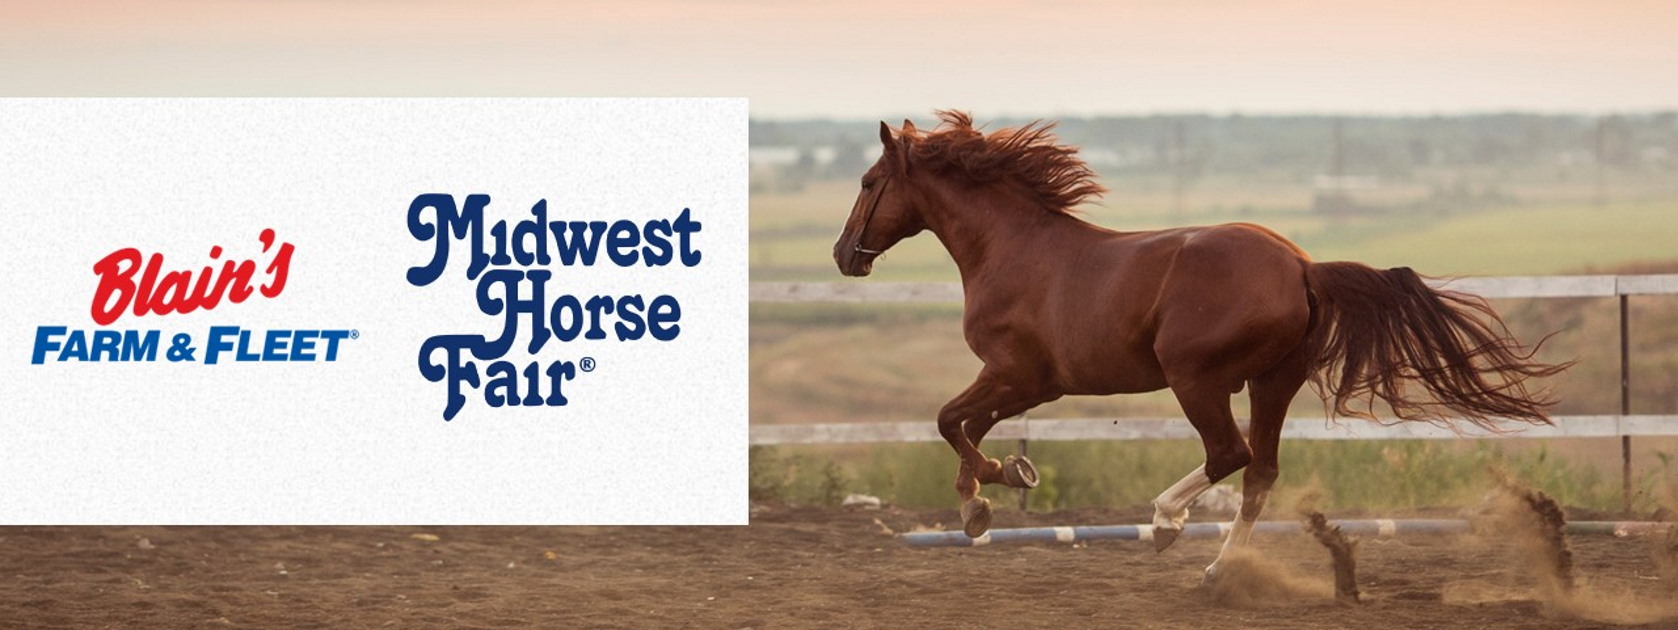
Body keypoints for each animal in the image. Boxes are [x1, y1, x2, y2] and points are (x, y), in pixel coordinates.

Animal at [831, 111, 1568, 582]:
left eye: (867, 183)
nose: (844, 255)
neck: (1011, 250)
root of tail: (1302, 265)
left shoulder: (1023, 375)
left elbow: (950, 421)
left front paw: (989, 494)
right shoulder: (1022, 382)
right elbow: (965, 426)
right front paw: (996, 485)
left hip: (1197, 378)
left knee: (1229, 455)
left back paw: (1166, 525)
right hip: (1274, 383)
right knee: (1261, 471)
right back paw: (1219, 568)